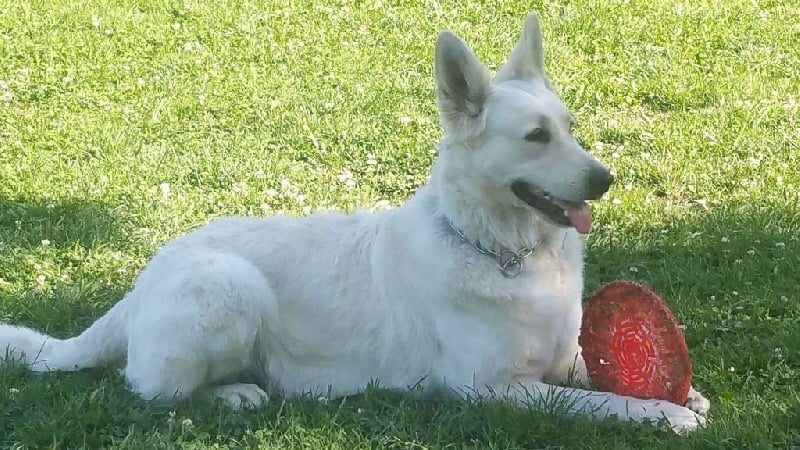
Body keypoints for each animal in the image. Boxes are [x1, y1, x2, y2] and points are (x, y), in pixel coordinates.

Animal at [1, 12, 712, 430]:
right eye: (536, 137)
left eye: (568, 128)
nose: (605, 179)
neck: (501, 251)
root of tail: (144, 280)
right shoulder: (493, 389)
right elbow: (599, 400)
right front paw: (661, 413)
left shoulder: (557, 361)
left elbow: (595, 373)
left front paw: (683, 395)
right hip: (229, 286)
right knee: (151, 392)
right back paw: (232, 394)